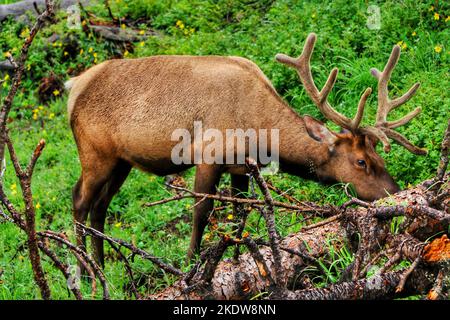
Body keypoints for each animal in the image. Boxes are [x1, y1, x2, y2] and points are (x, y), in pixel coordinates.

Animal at [66, 33, 426, 268]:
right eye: (361, 161)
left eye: (380, 157)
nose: (395, 192)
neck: (257, 131)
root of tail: (73, 88)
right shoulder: (208, 155)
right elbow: (201, 212)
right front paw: (190, 265)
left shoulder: (240, 167)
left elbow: (240, 213)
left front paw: (236, 256)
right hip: (95, 153)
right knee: (80, 200)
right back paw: (85, 271)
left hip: (121, 162)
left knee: (99, 207)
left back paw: (101, 266)